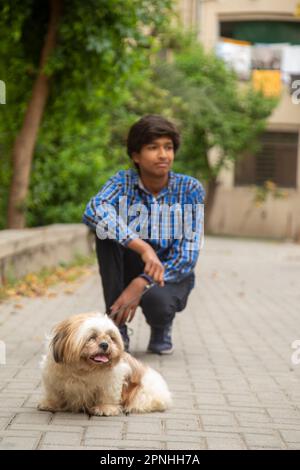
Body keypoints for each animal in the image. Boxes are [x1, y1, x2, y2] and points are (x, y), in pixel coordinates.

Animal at [37, 312, 172, 414]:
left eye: (111, 338)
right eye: (91, 337)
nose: (105, 344)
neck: (81, 370)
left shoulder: (111, 382)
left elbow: (107, 395)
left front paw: (105, 408)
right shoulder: (52, 379)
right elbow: (54, 394)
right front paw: (50, 404)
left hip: (143, 393)